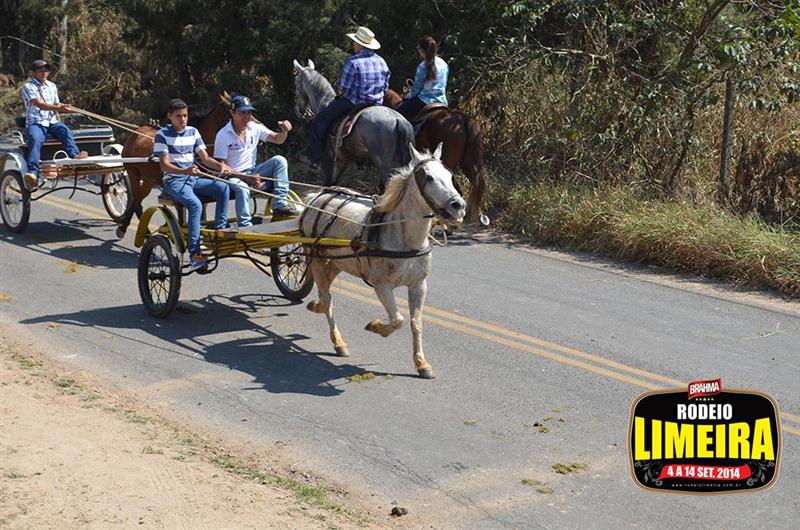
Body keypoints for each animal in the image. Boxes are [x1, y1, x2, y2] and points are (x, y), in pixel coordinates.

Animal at [300, 143, 466, 378]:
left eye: (450, 176)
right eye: (429, 177)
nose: (458, 205)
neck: (403, 237)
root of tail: (315, 197)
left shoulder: (419, 285)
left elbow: (416, 323)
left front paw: (422, 363)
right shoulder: (382, 285)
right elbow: (398, 319)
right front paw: (376, 326)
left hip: (335, 263)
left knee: (325, 297)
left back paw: (316, 307)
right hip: (317, 260)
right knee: (327, 298)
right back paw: (338, 342)